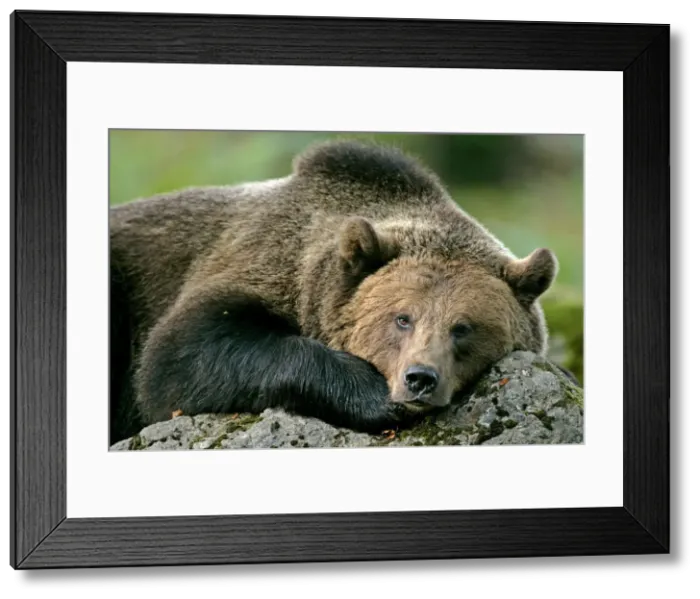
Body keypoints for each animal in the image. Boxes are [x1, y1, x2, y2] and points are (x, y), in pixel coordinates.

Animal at [109, 139, 564, 445]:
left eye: (463, 327)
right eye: (402, 318)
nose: (420, 378)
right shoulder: (254, 262)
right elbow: (179, 354)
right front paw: (375, 397)